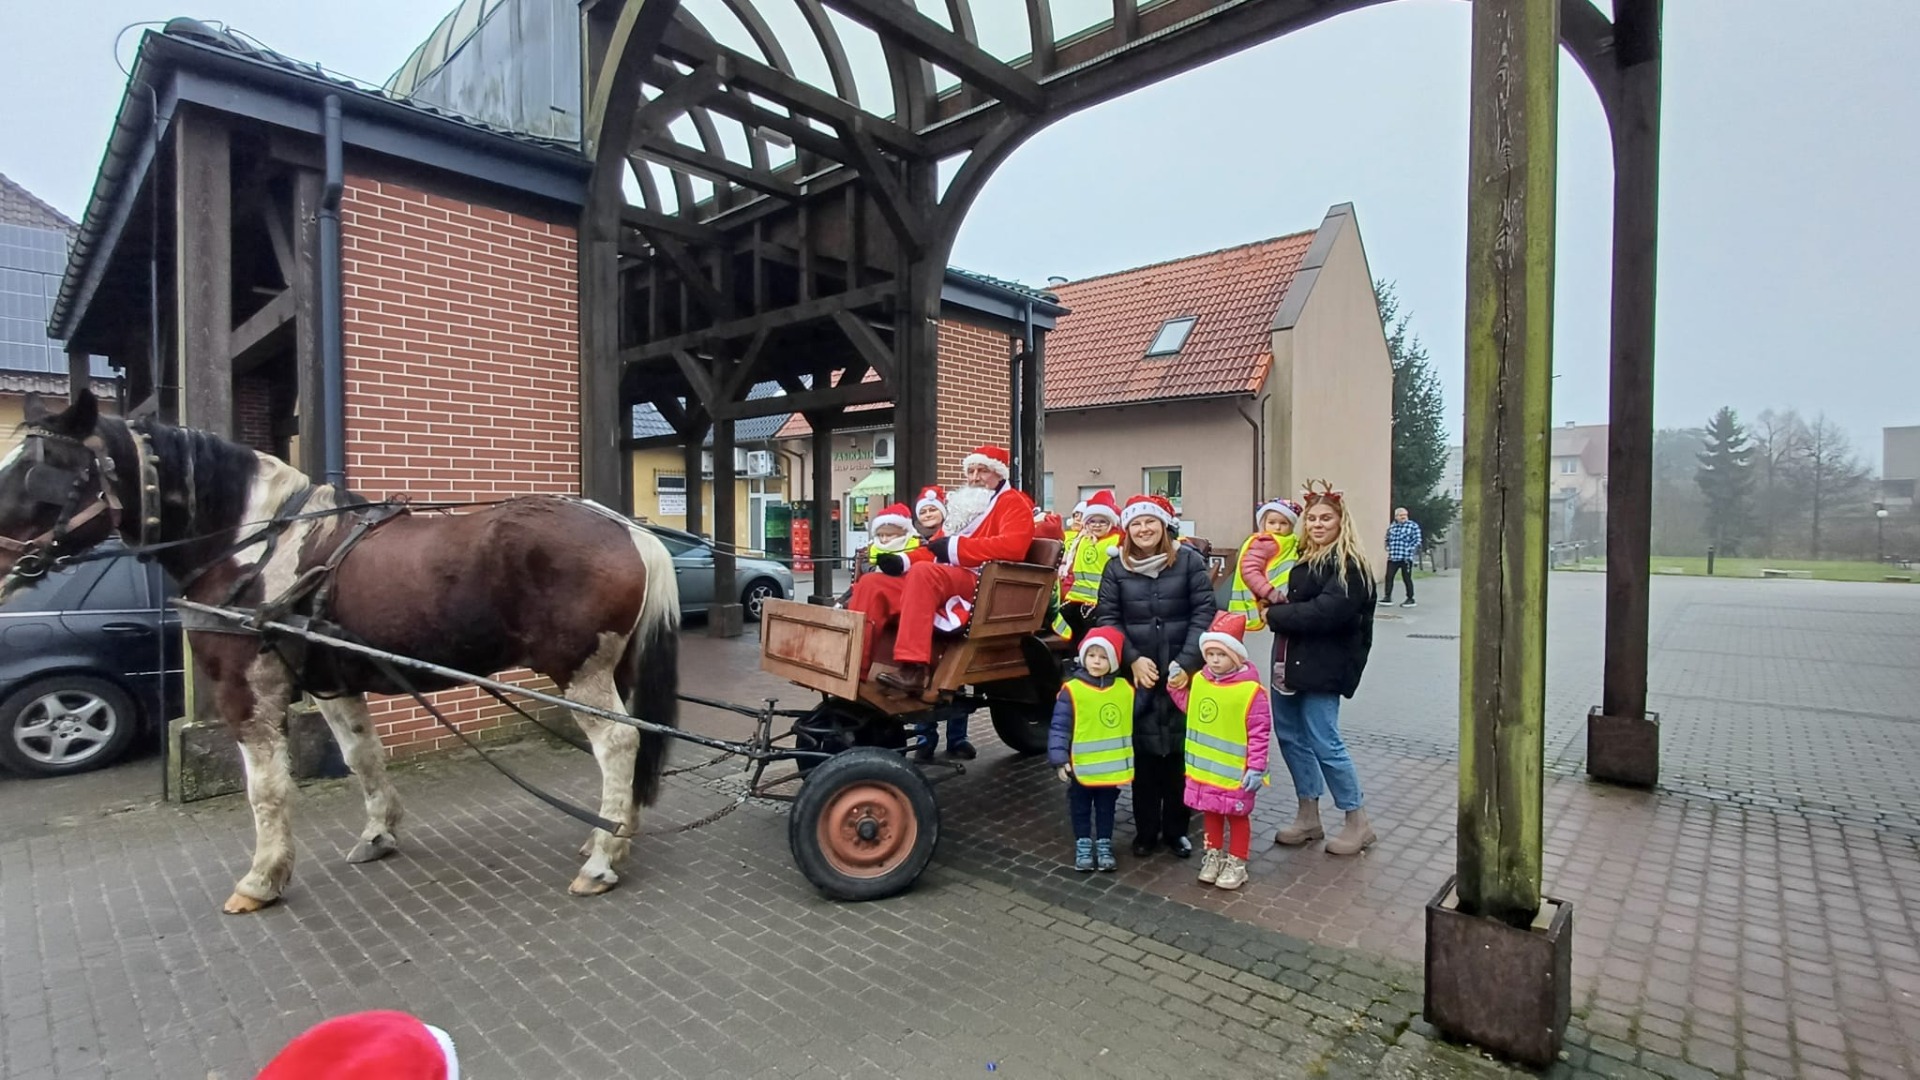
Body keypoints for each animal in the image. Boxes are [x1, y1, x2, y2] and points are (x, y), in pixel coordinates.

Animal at [0, 390, 680, 913]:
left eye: (40, 468)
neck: (255, 544)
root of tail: (628, 528)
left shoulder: (248, 688)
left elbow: (267, 788)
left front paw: (263, 877)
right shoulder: (333, 680)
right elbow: (361, 757)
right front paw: (380, 832)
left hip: (581, 671)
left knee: (619, 743)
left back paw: (602, 857)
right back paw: (615, 833)